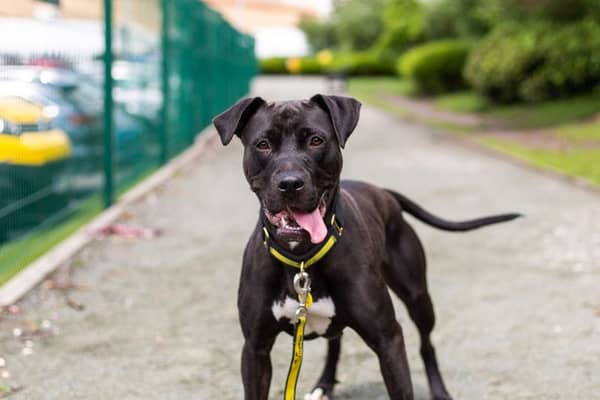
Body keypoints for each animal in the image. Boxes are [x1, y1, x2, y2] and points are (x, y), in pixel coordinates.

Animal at [213, 94, 516, 400]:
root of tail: (383, 192)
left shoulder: (388, 340)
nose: (289, 184)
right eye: (263, 144)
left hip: (418, 296)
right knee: (334, 343)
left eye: (316, 140)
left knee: (426, 343)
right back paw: (324, 384)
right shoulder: (255, 349)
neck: (301, 258)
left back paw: (439, 391)